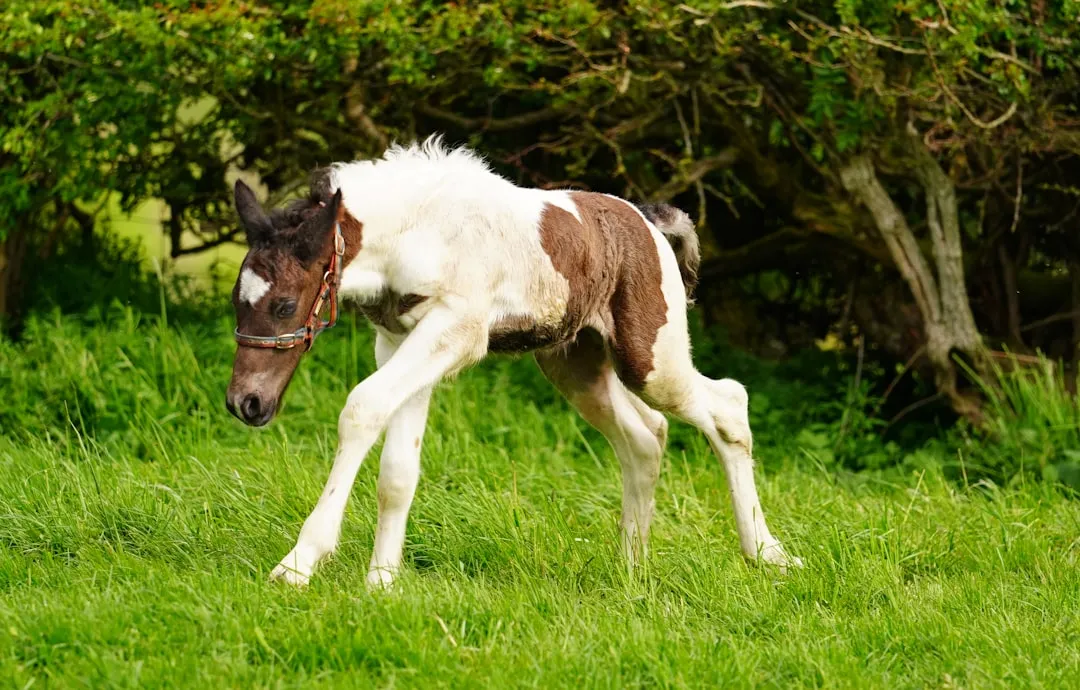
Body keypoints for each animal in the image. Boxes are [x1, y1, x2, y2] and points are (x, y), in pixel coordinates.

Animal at [225, 137, 800, 587]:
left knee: (728, 405)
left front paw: (299, 563)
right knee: (646, 436)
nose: (245, 403)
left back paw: (768, 555)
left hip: (650, 359)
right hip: (575, 364)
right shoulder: (400, 340)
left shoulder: (456, 331)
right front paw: (382, 584)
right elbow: (398, 469)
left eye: (284, 305)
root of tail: (650, 222)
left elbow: (362, 408)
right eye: (237, 299)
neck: (415, 228)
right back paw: (632, 569)